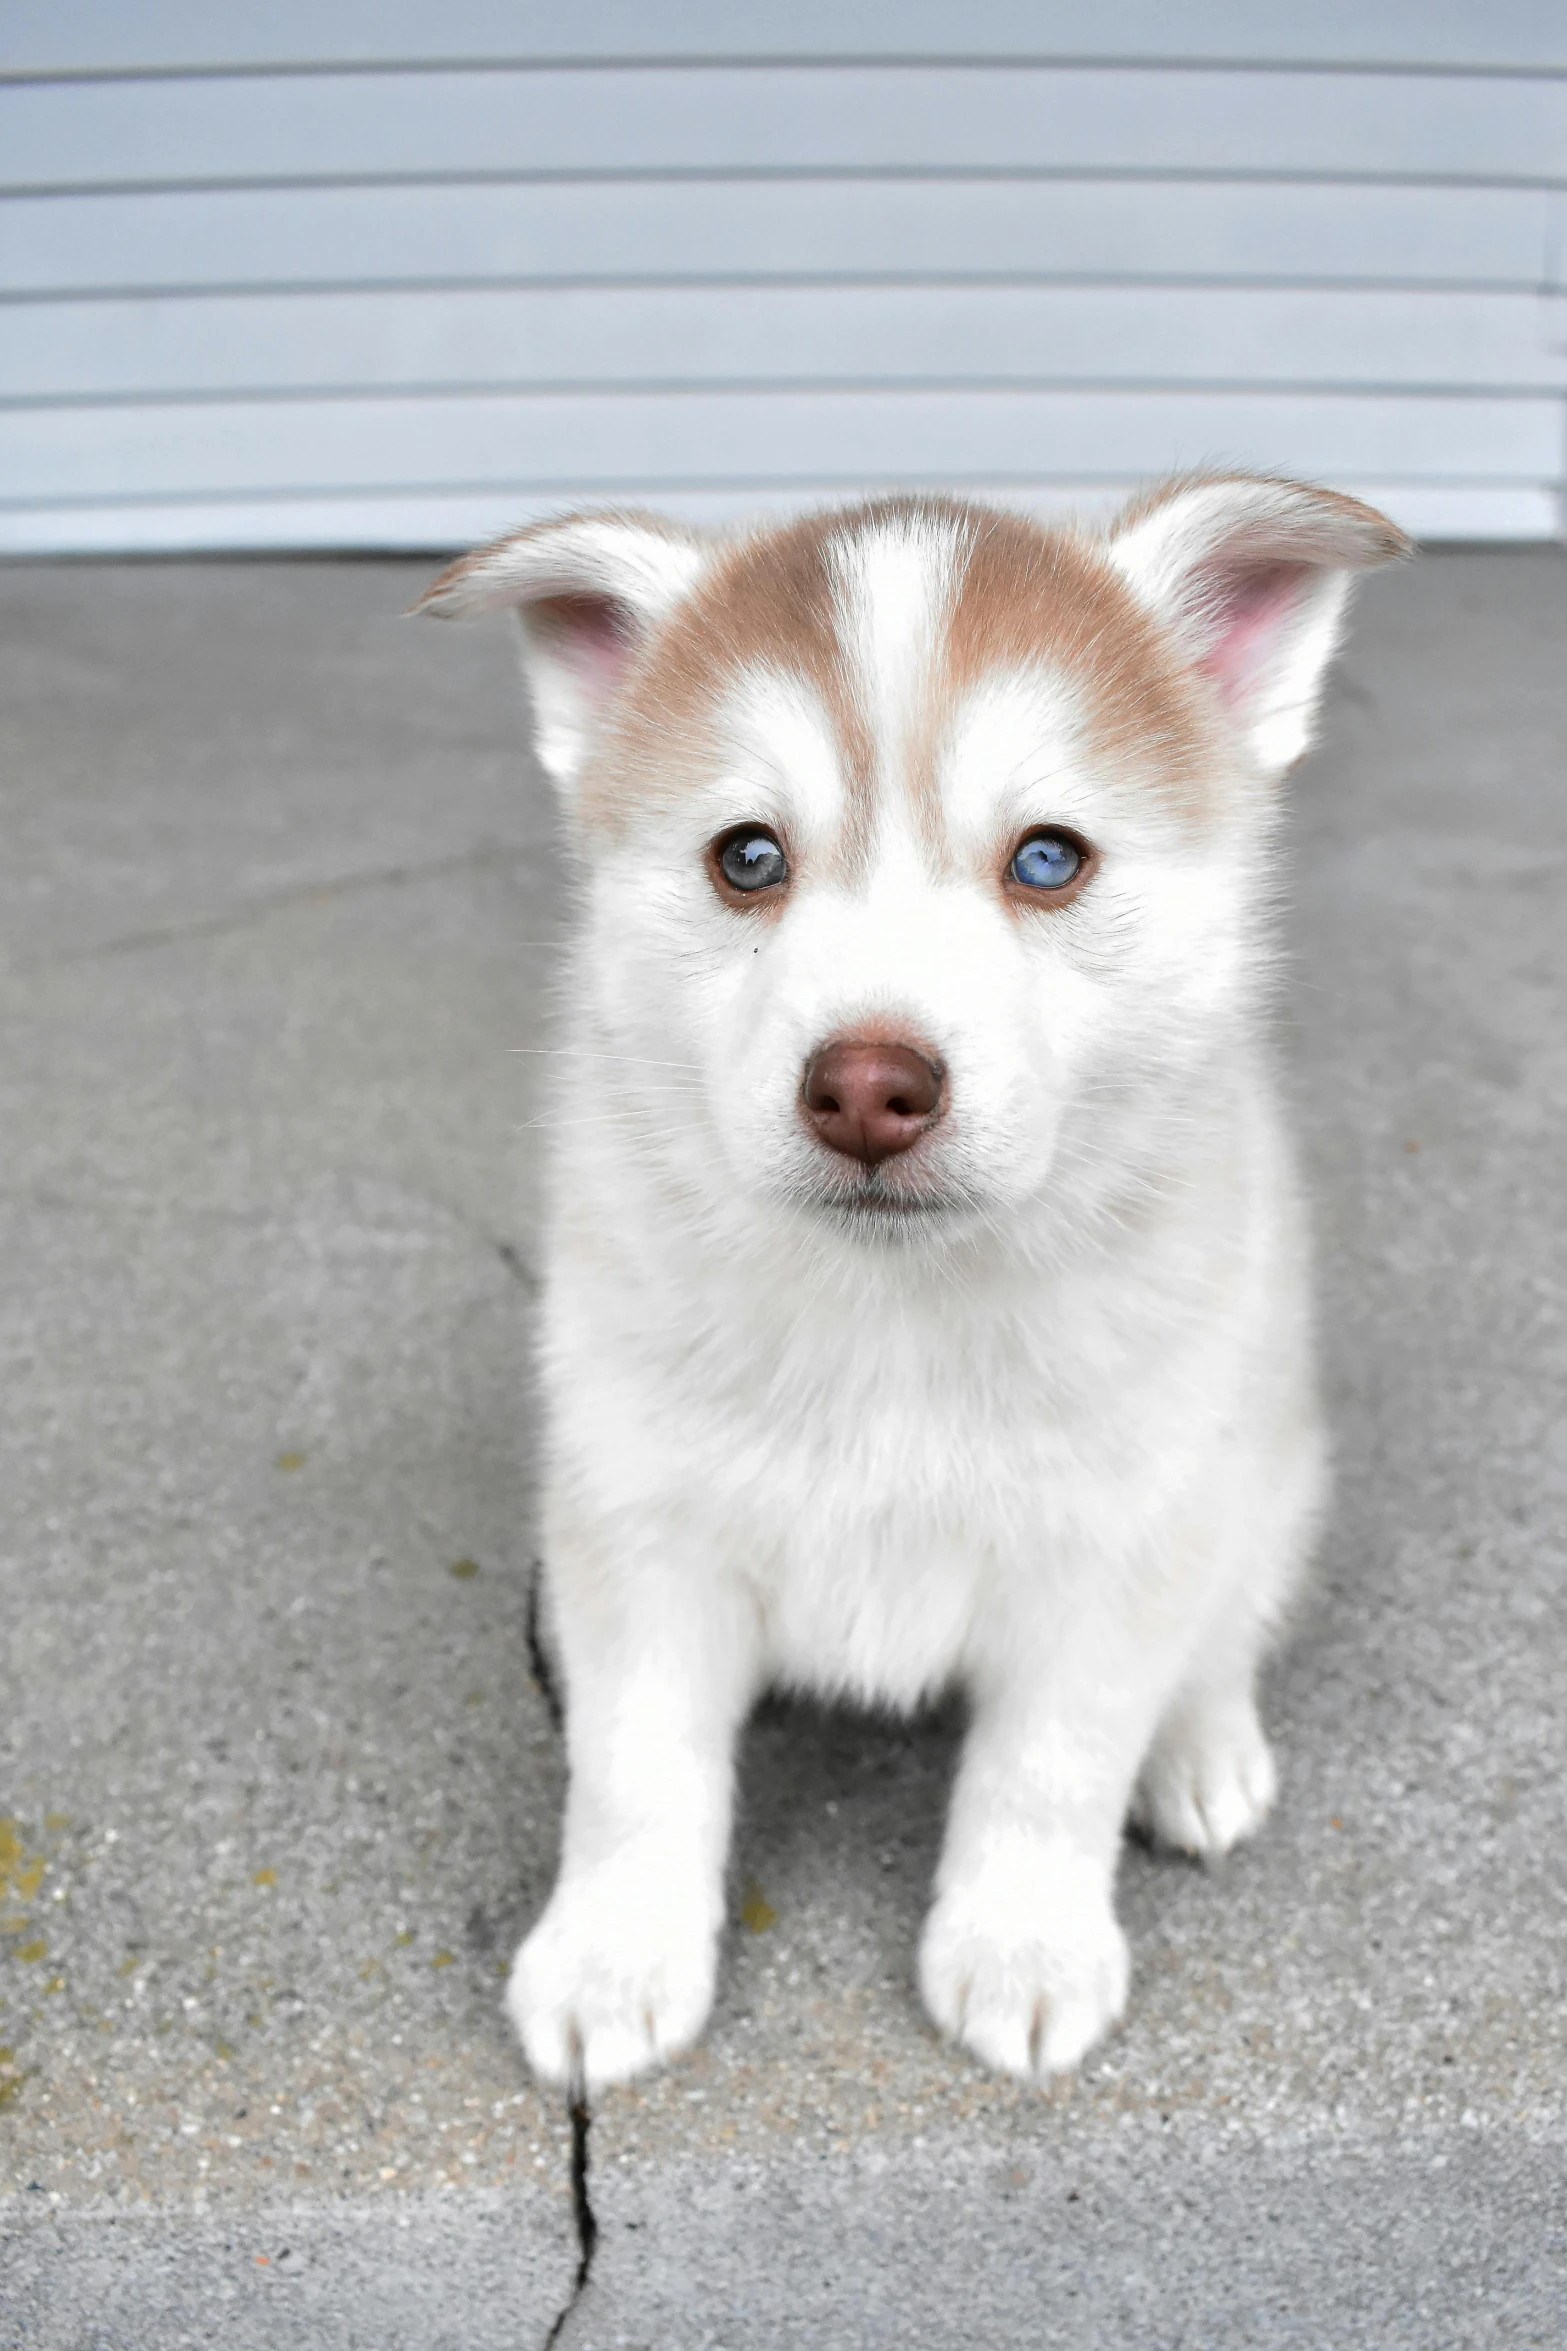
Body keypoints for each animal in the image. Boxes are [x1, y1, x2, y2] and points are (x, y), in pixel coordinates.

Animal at [415, 467, 1409, 2087]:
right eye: (745, 856)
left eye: (1048, 858)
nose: (868, 1090)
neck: (893, 1313)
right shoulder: (638, 1519)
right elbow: (633, 1767)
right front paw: (615, 1953)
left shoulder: (1112, 1539)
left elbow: (1051, 1763)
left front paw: (1021, 1945)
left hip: (1264, 1472)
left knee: (1220, 1634)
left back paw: (1200, 1751)